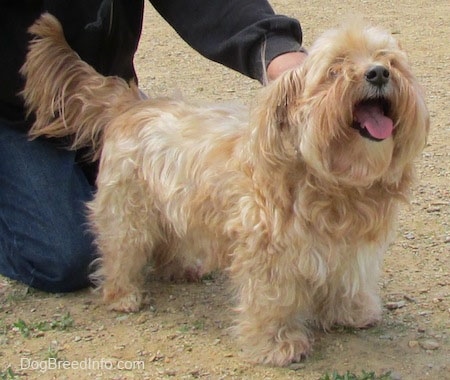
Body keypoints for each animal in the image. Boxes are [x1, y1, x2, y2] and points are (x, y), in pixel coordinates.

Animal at [22, 14, 428, 366]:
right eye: (334, 68)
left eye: (388, 59)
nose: (378, 73)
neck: (332, 180)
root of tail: (131, 106)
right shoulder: (268, 255)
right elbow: (273, 302)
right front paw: (277, 344)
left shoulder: (349, 248)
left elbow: (347, 279)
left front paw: (350, 311)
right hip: (128, 213)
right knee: (119, 252)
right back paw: (123, 294)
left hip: (172, 206)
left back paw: (180, 268)